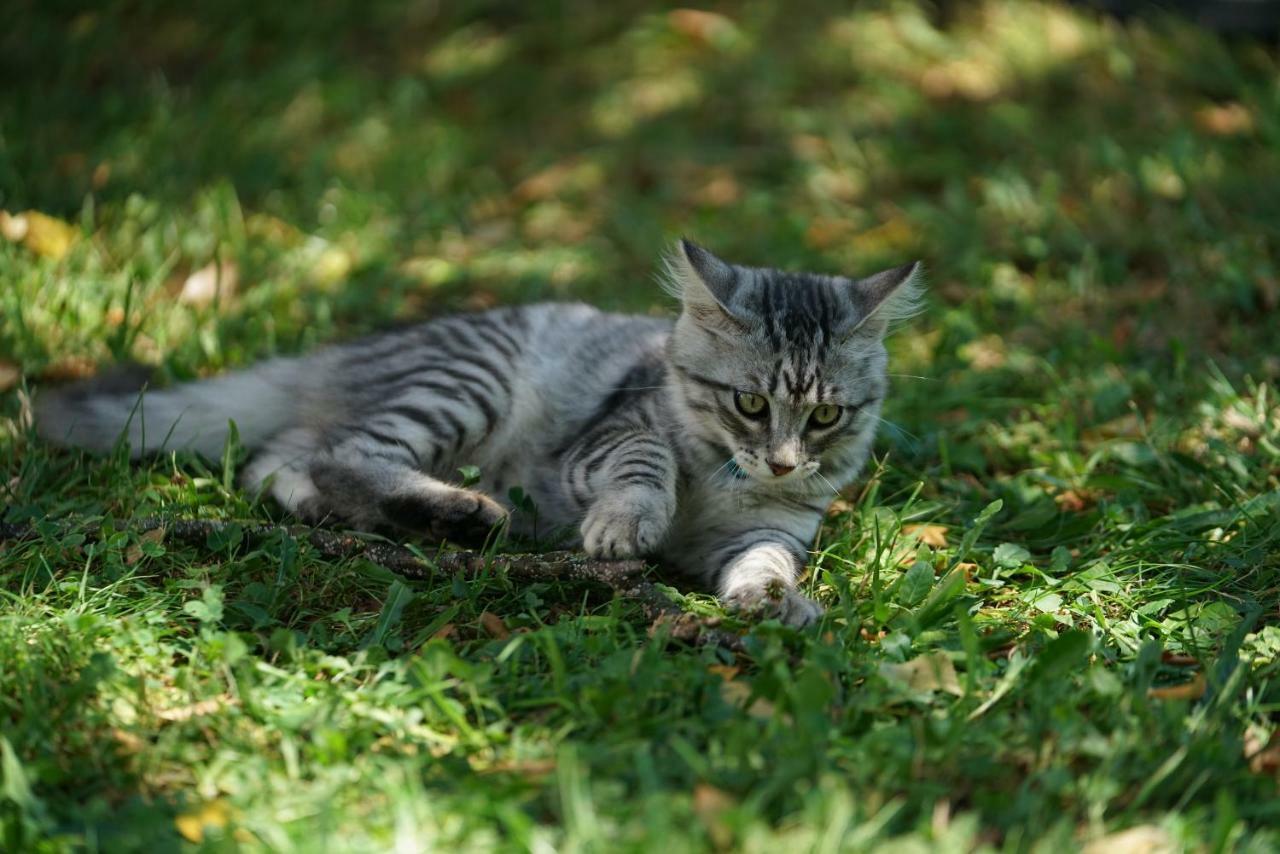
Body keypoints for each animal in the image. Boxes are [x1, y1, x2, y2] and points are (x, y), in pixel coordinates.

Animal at [37, 240, 921, 627]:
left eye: (825, 416)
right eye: (748, 403)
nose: (781, 462)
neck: (722, 481)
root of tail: (347, 352)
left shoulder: (767, 528)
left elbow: (766, 559)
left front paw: (776, 602)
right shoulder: (601, 442)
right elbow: (645, 463)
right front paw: (627, 524)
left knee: (280, 463)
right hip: (465, 387)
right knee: (344, 452)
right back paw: (460, 513)